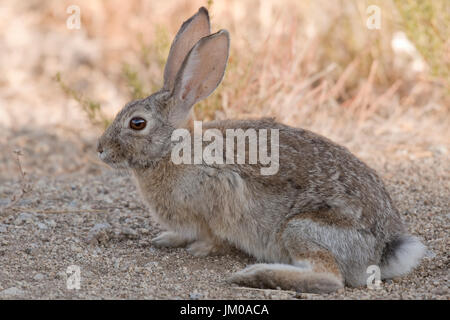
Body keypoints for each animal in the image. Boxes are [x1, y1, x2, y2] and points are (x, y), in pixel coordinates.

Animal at [97, 6, 426, 292]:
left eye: (137, 123)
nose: (100, 149)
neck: (174, 148)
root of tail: (385, 249)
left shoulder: (220, 193)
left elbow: (215, 235)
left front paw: (200, 248)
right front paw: (166, 239)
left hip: (301, 229)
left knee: (329, 279)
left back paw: (253, 275)